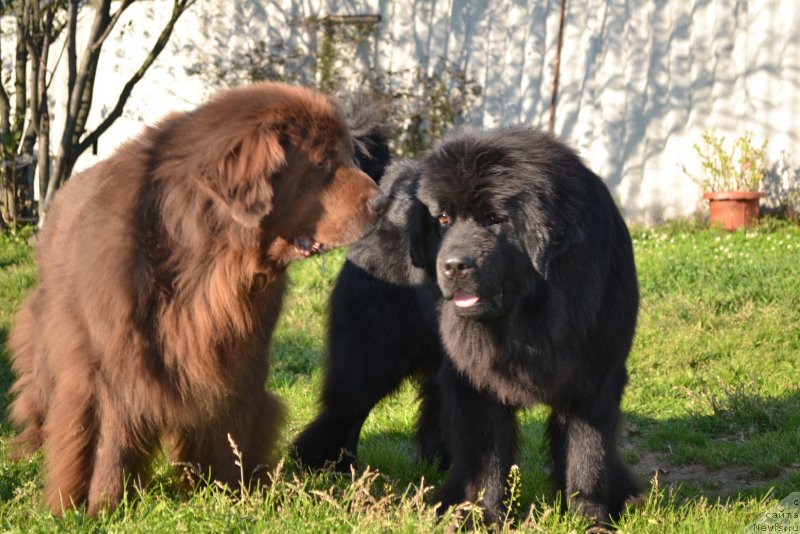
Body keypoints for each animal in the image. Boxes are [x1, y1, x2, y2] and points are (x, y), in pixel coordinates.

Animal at [7, 82, 388, 516]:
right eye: (323, 162)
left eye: (349, 156)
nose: (383, 203)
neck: (208, 261)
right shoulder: (114, 364)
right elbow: (111, 438)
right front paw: (102, 506)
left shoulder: (237, 356)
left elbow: (230, 428)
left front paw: (231, 495)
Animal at [296, 130, 640, 528]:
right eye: (443, 218)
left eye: (494, 219)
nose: (453, 265)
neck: (530, 317)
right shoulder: (477, 381)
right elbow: (485, 452)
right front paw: (479, 515)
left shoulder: (594, 377)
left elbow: (588, 455)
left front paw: (590, 519)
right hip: (374, 352)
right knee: (346, 406)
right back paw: (328, 467)